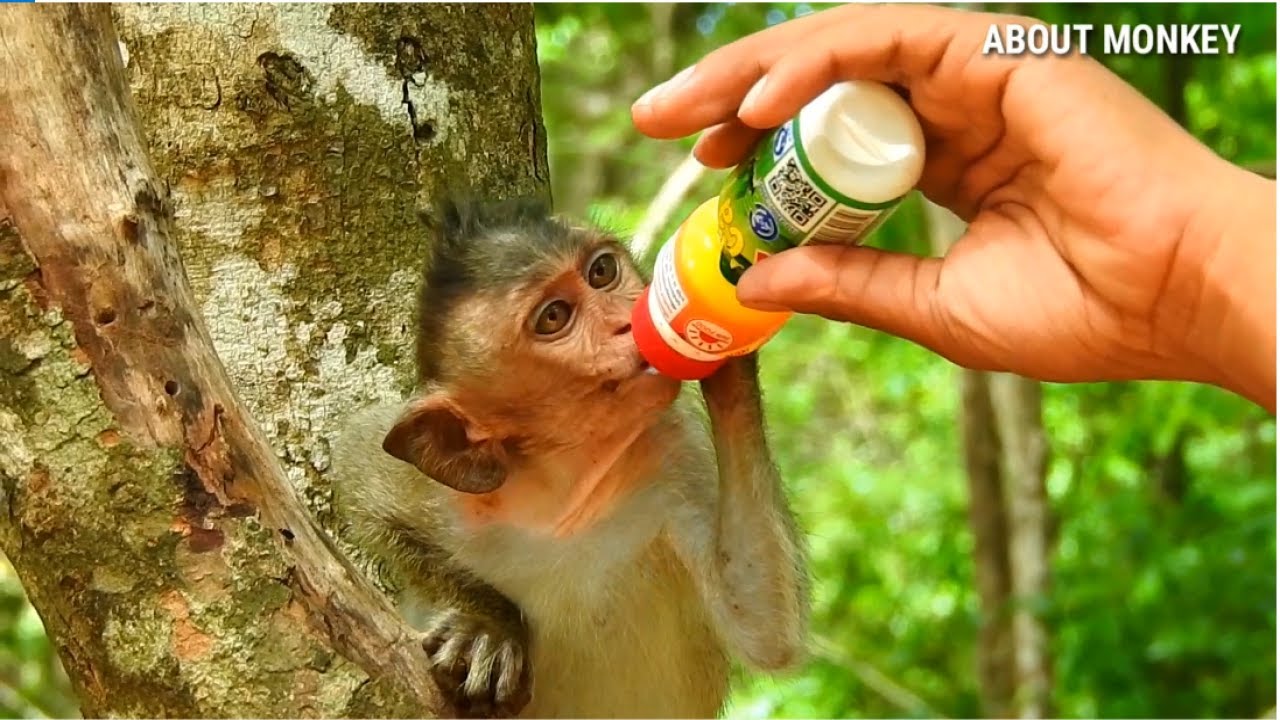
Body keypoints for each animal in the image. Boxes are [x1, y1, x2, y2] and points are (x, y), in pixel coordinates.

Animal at [330, 196, 809, 718]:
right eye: (554, 317)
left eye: (602, 272)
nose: (629, 320)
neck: (564, 485)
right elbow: (355, 474)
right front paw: (490, 627)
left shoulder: (674, 454)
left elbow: (760, 625)